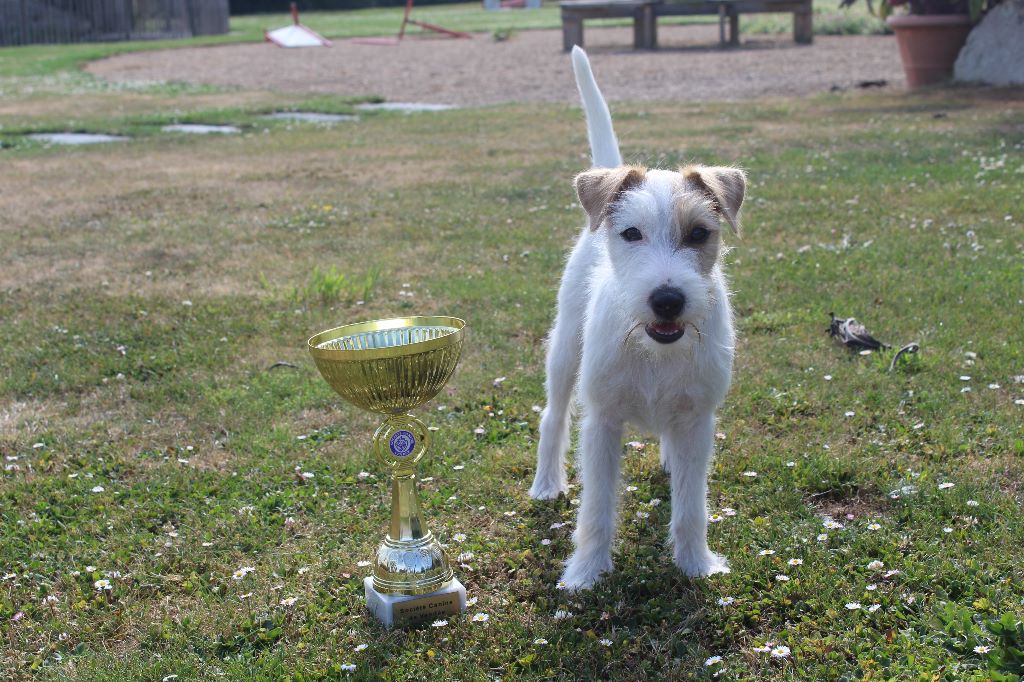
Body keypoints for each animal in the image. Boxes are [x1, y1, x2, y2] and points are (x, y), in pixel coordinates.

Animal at [528, 47, 745, 589]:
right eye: (631, 233)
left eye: (698, 233)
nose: (667, 299)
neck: (653, 351)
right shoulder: (602, 423)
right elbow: (596, 509)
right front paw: (585, 573)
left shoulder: (697, 420)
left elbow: (691, 507)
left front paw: (696, 565)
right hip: (564, 350)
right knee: (552, 416)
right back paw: (546, 483)